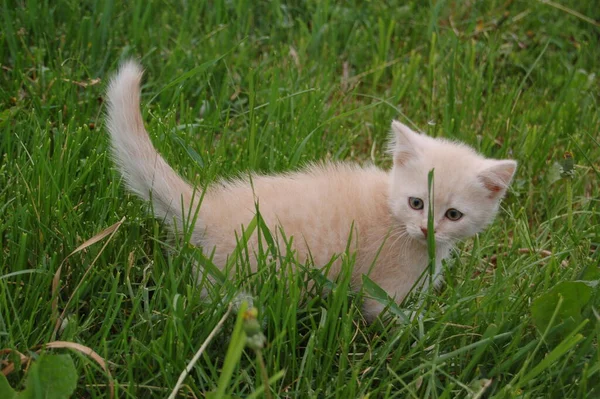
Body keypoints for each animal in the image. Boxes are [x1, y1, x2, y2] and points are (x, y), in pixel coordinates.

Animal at [105, 61, 516, 322]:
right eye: (416, 203)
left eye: (453, 215)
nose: (427, 229)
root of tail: (208, 207)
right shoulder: (385, 289)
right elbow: (398, 317)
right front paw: (430, 323)